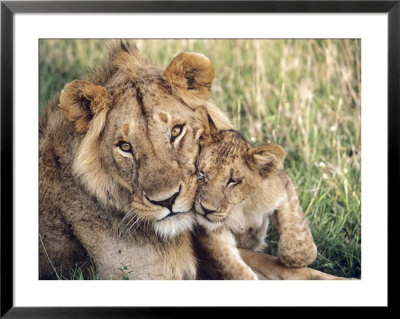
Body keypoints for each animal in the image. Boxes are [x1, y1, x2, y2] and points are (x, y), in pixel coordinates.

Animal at [192, 109, 348, 280]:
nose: (206, 209)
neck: (240, 207)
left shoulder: (282, 184)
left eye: (233, 181)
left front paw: (305, 257)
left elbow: (295, 235)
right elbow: (232, 267)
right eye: (201, 174)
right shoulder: (211, 234)